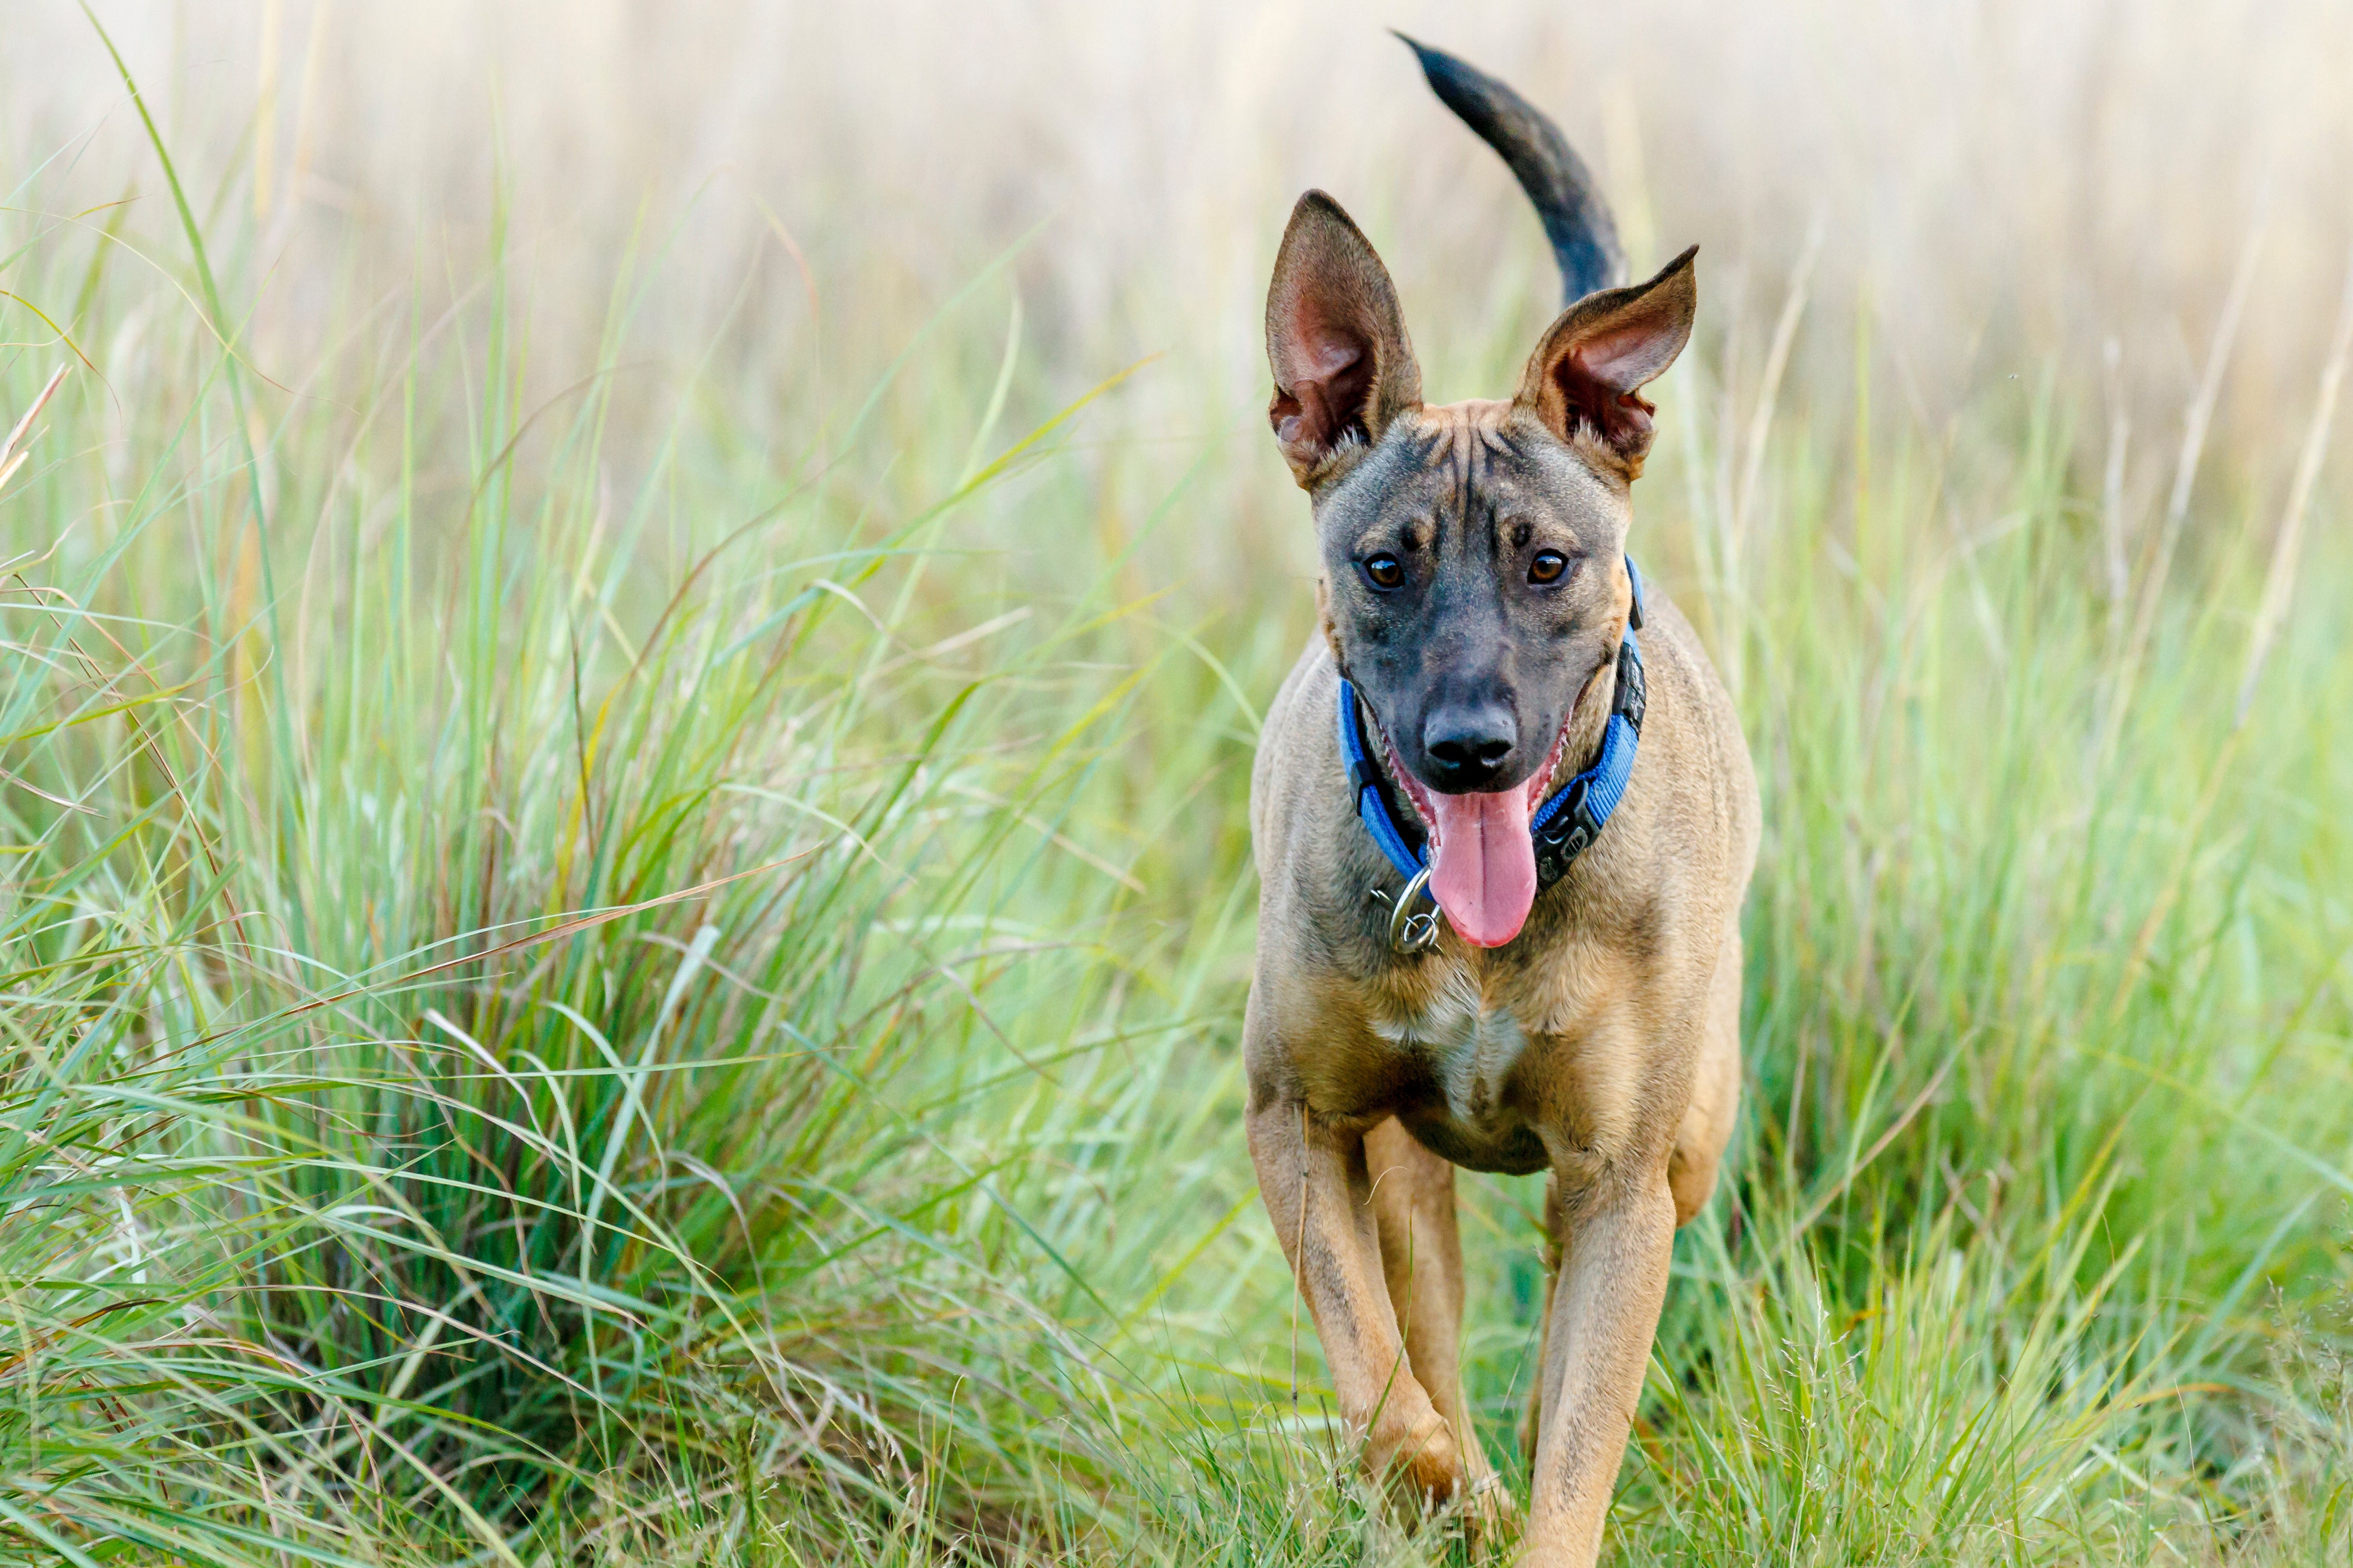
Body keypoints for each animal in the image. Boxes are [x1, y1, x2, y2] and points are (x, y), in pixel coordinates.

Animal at [1242, 36, 1760, 1568]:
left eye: (1548, 562)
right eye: (1385, 563)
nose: (1470, 746)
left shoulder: (1624, 1184)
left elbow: (1576, 1444)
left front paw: (1516, 1495)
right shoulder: (1296, 1121)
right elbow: (1379, 1376)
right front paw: (1435, 1481)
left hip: (1688, 1142)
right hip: (1402, 1165)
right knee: (1423, 1320)